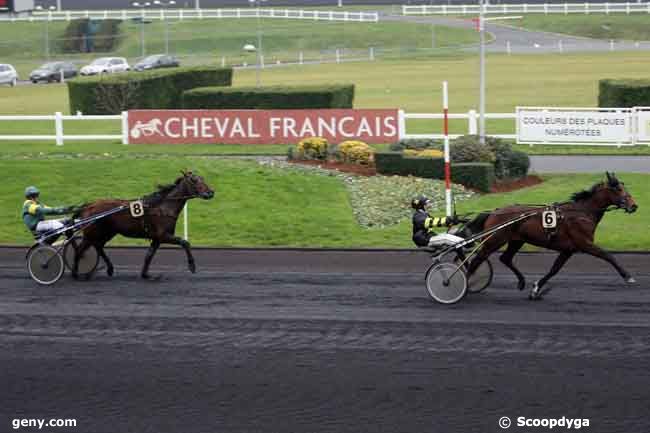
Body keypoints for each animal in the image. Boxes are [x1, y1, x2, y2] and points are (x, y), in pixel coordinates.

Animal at [73, 170, 214, 278]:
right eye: (194, 180)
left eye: (202, 178)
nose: (210, 192)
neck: (163, 207)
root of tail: (88, 205)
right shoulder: (164, 236)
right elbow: (185, 242)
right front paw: (192, 266)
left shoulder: (157, 239)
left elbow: (149, 255)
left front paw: (145, 274)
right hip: (92, 234)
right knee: (80, 250)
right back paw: (75, 273)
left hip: (107, 233)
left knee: (98, 246)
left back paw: (109, 269)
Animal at [464, 170, 636, 298]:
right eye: (618, 189)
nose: (634, 206)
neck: (582, 212)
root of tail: (494, 211)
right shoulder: (584, 243)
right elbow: (608, 256)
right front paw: (628, 276)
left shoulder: (568, 249)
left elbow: (554, 269)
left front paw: (536, 289)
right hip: (494, 240)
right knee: (477, 260)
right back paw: (464, 285)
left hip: (516, 240)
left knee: (505, 258)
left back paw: (521, 282)